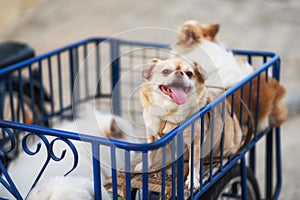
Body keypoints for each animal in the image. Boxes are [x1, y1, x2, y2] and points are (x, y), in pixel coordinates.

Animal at [137, 57, 243, 189]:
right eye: (165, 71)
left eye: (189, 73)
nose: (179, 73)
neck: (170, 113)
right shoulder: (151, 134)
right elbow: (150, 152)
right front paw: (146, 164)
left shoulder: (196, 141)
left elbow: (194, 162)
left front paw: (192, 180)